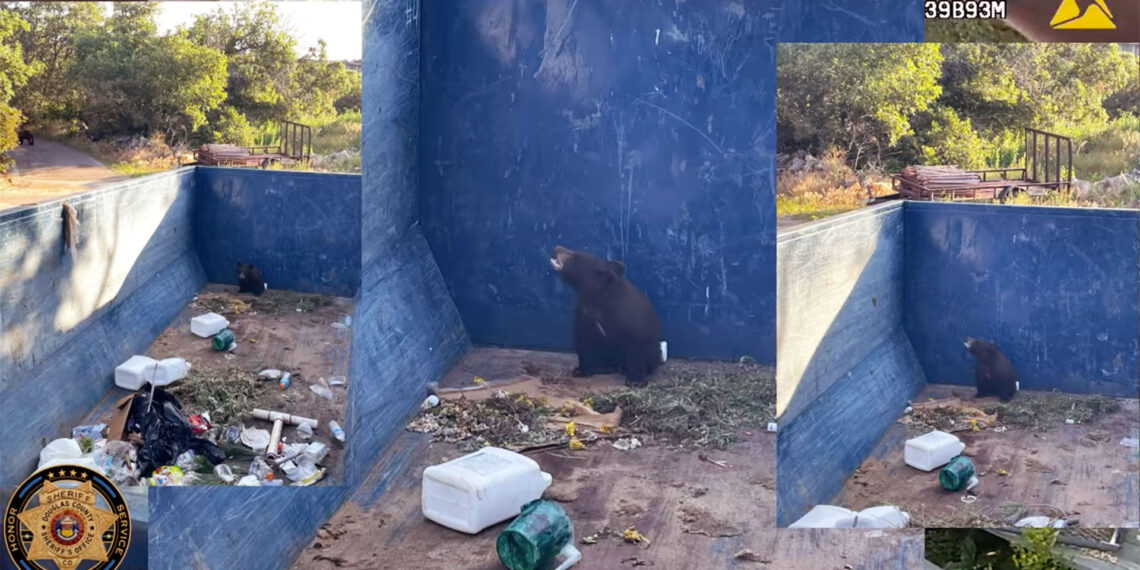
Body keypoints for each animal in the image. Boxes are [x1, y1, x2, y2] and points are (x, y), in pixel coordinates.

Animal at [550, 245, 661, 386]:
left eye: (576, 256)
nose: (557, 247)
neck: (597, 298)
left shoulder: (632, 320)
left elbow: (637, 347)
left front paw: (635, 380)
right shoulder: (584, 316)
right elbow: (584, 342)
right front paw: (582, 370)